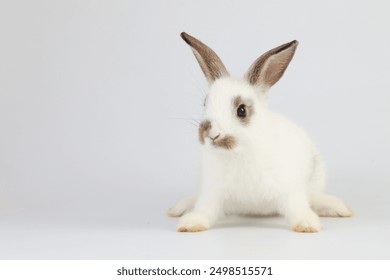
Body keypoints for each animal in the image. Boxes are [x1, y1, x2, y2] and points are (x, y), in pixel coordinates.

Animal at [168, 32, 354, 233]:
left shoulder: (288, 188)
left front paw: (307, 225)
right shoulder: (213, 192)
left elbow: (296, 207)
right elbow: (205, 209)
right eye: (204, 104)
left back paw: (339, 208)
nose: (212, 134)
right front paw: (190, 224)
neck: (239, 153)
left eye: (242, 110)